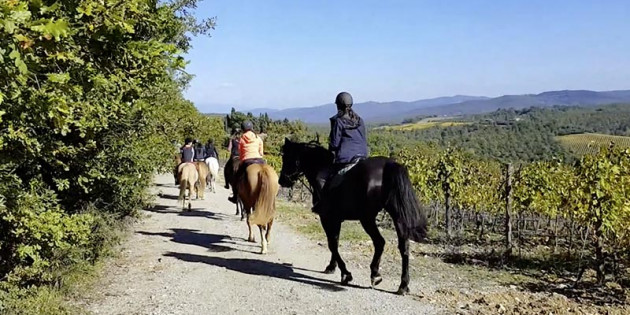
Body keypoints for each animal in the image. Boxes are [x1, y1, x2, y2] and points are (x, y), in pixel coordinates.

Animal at [280, 139, 430, 296]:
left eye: (286, 157)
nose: (282, 180)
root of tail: (388, 165)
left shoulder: (327, 217)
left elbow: (332, 244)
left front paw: (345, 274)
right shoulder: (336, 219)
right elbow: (335, 241)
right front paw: (332, 267)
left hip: (367, 218)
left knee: (379, 242)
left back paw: (376, 275)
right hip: (397, 215)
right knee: (403, 247)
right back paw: (402, 285)